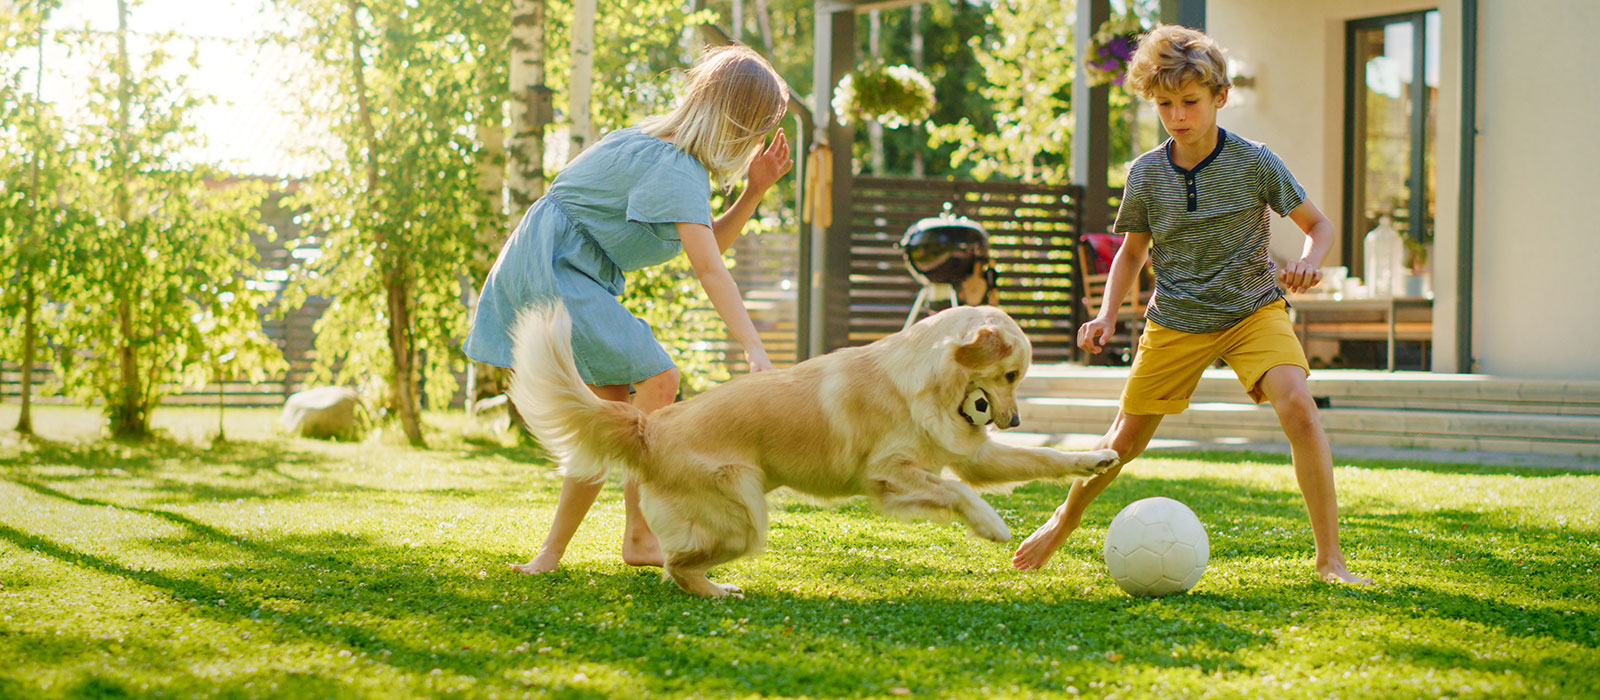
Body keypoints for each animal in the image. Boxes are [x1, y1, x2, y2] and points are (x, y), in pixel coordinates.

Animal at [505, 300, 1120, 594]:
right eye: (1012, 374)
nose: (1014, 420)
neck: (924, 381)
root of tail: (648, 426)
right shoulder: (888, 473)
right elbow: (957, 492)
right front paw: (991, 524)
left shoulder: (969, 455)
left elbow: (1042, 459)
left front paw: (1094, 457)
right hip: (746, 516)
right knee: (676, 565)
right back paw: (715, 590)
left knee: (675, 562)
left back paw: (714, 587)